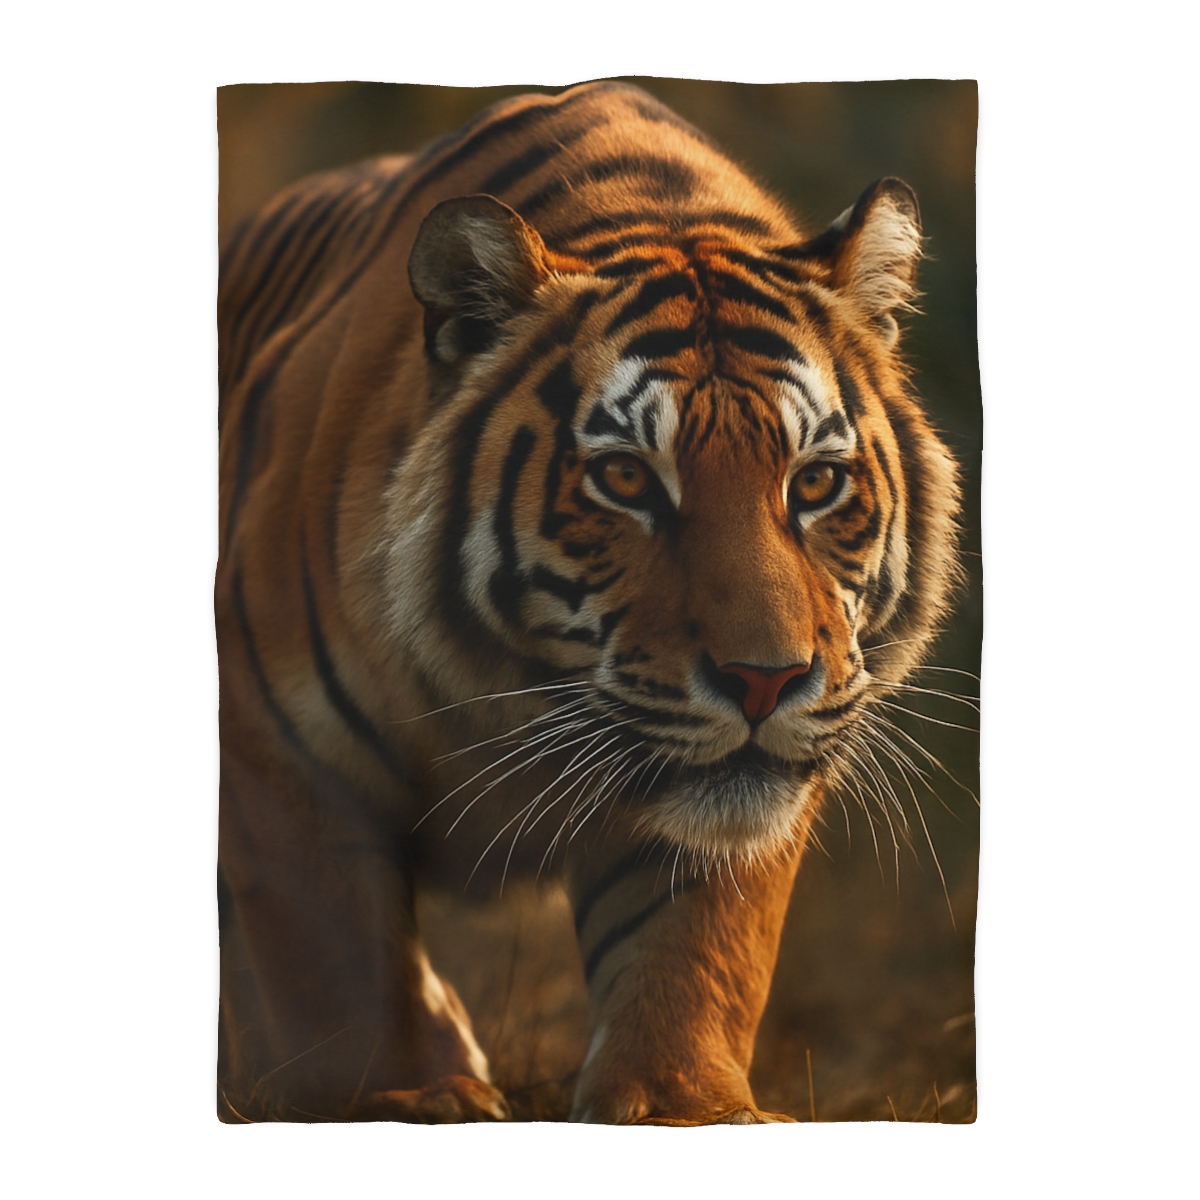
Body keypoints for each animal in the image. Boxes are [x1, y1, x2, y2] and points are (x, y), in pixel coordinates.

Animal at [216, 80, 962, 1125]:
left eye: (814, 484)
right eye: (625, 478)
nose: (766, 681)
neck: (515, 699)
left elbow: (696, 948)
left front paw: (683, 1105)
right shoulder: (277, 740)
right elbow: (326, 963)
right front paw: (394, 1095)